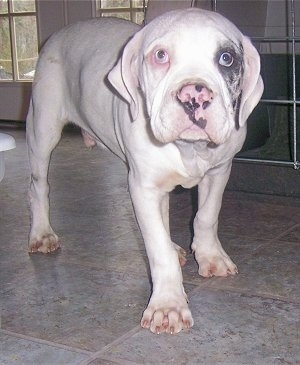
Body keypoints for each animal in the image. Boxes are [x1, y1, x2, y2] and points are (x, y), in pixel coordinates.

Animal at [27, 7, 264, 332]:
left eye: (227, 58)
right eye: (160, 55)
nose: (195, 96)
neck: (188, 149)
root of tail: (61, 33)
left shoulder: (219, 171)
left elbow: (206, 216)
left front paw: (210, 257)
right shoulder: (143, 188)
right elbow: (157, 247)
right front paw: (168, 306)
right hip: (43, 128)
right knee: (39, 185)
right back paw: (41, 233)